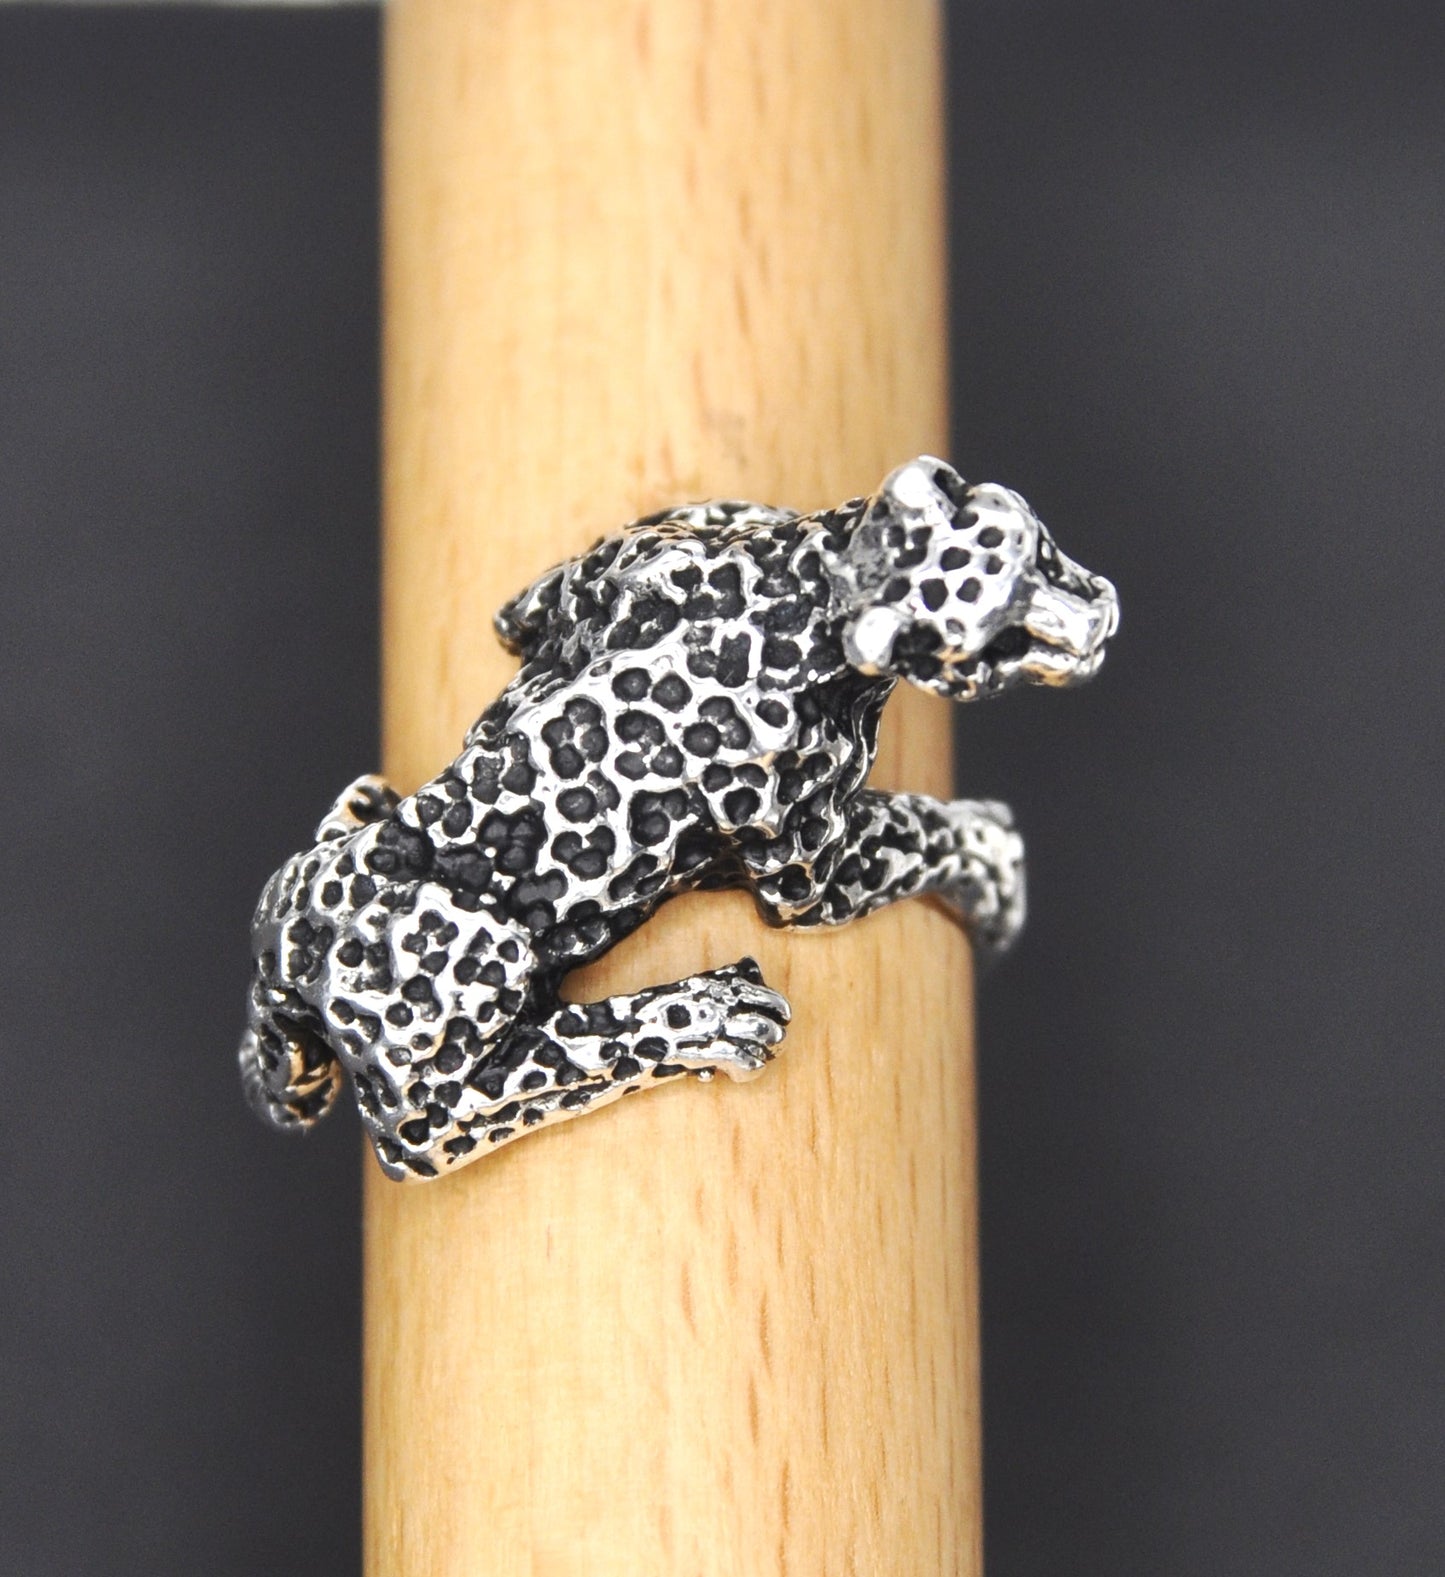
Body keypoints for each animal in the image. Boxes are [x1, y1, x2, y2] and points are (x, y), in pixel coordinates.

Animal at [239, 457, 1118, 1180]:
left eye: (1039, 550)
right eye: (994, 639)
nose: (1099, 620)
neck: (808, 600)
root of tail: (284, 963)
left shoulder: (567, 585)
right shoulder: (812, 871)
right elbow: (917, 833)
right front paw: (991, 856)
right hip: (470, 994)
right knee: (438, 1126)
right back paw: (706, 1013)